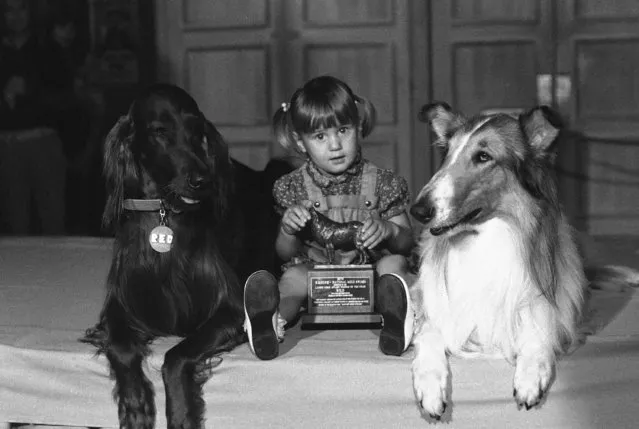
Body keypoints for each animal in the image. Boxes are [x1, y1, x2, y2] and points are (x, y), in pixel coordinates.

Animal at [82, 83, 278, 428]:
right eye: (160, 131)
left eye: (197, 130)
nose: (202, 181)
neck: (165, 213)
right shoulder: (121, 307)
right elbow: (120, 346)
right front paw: (135, 404)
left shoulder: (229, 310)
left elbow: (176, 355)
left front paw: (182, 410)